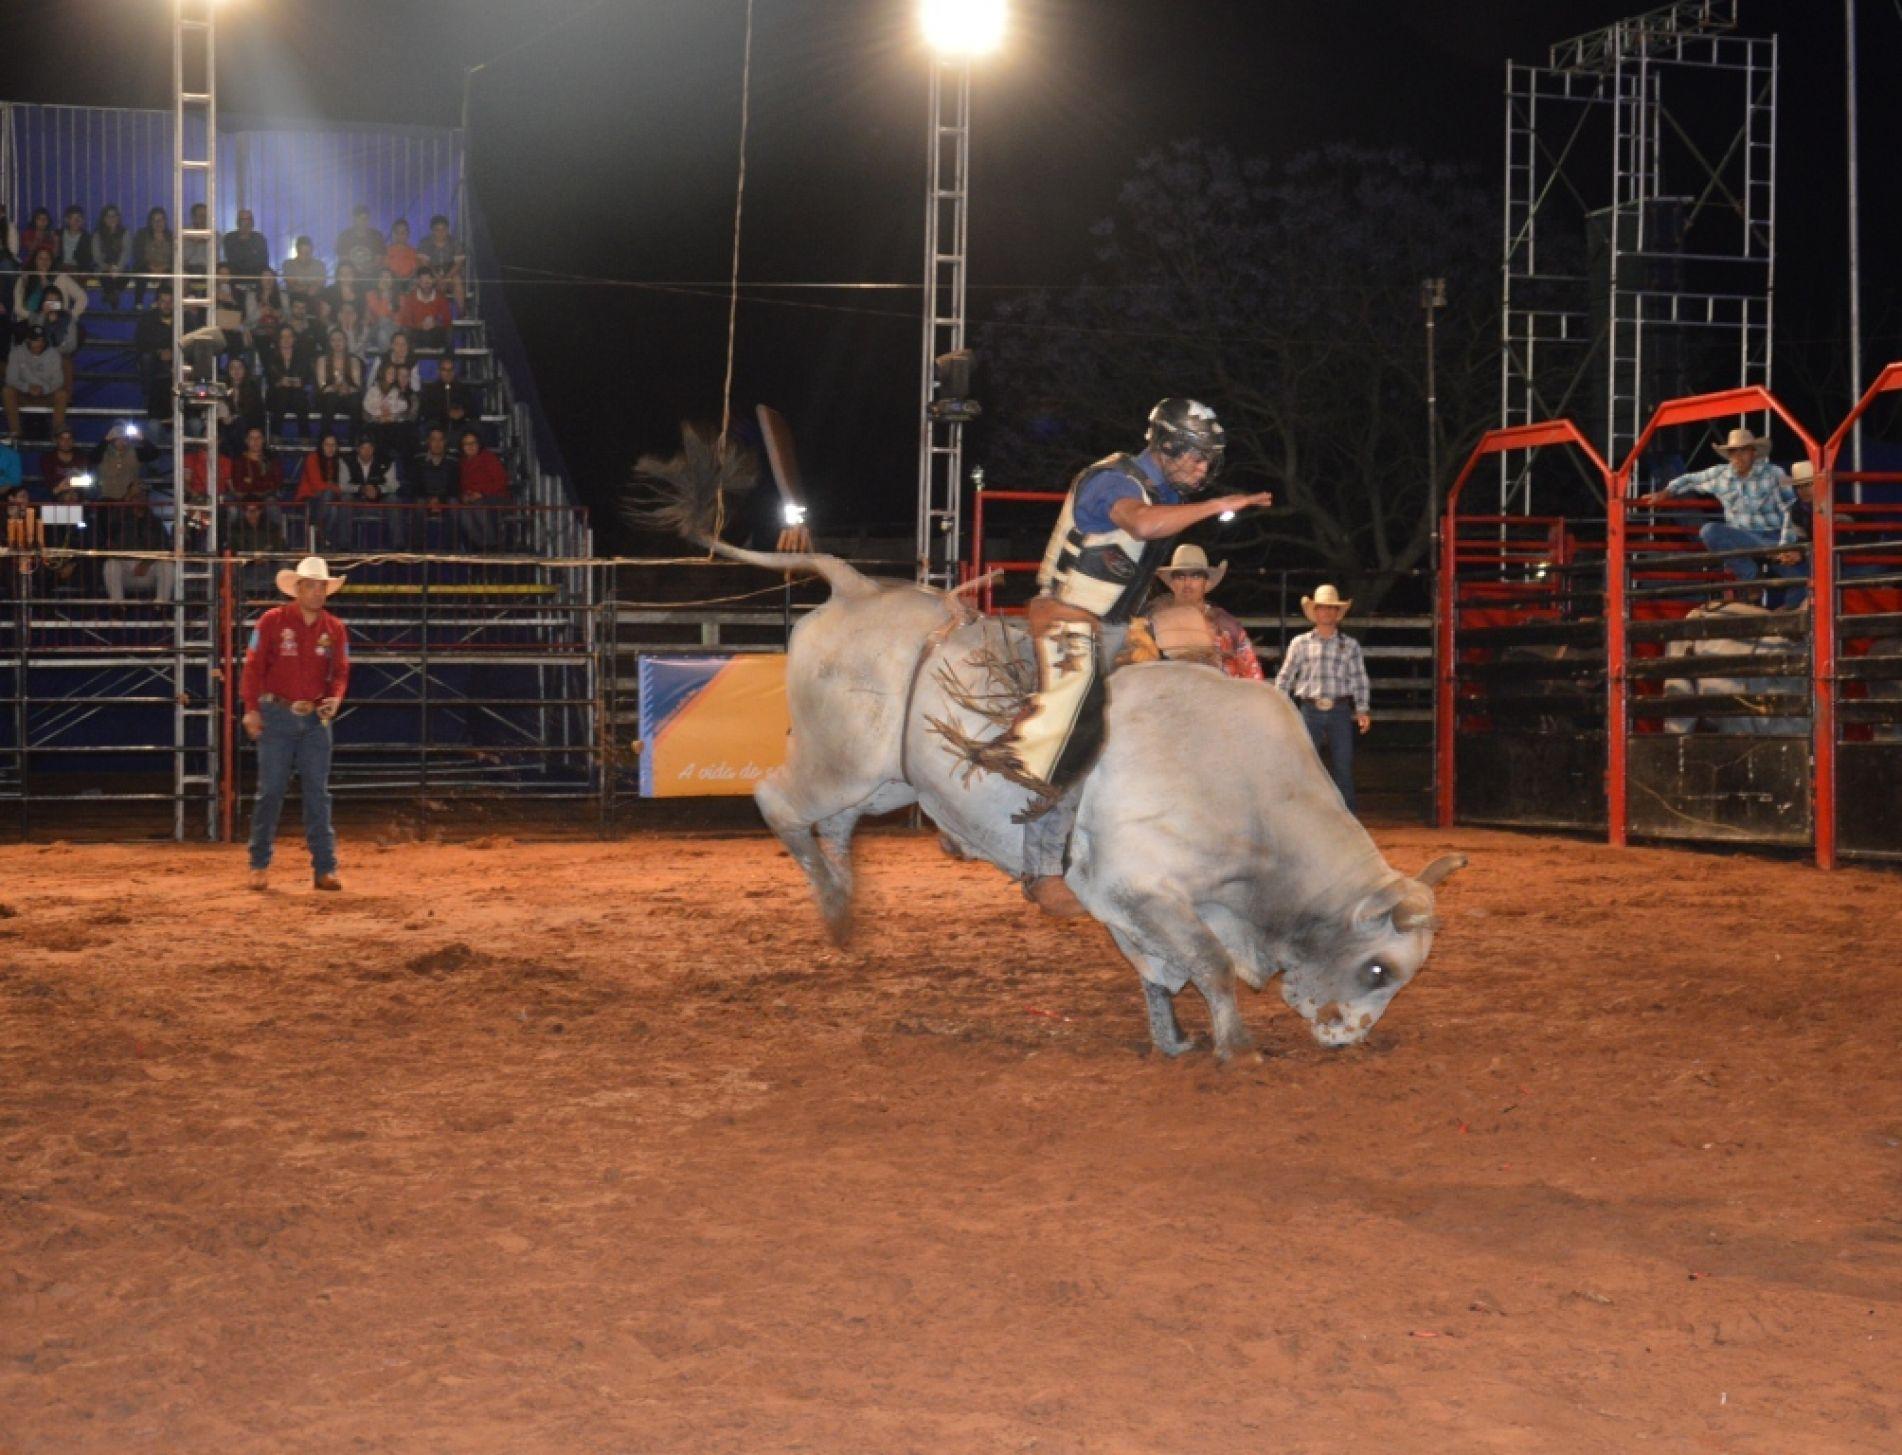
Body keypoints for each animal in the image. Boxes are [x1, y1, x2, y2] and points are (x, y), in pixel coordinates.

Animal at [734, 543, 1460, 1057]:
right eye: (1377, 969)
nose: (1347, 1036)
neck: (1254, 802)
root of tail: (857, 588)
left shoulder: (1132, 904)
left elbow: (1162, 970)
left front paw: (1174, 1040)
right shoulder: (1136, 883)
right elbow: (1208, 962)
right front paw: (1236, 1046)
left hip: (885, 781)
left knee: (836, 825)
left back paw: (842, 902)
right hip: (840, 760)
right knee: (779, 801)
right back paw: (832, 904)